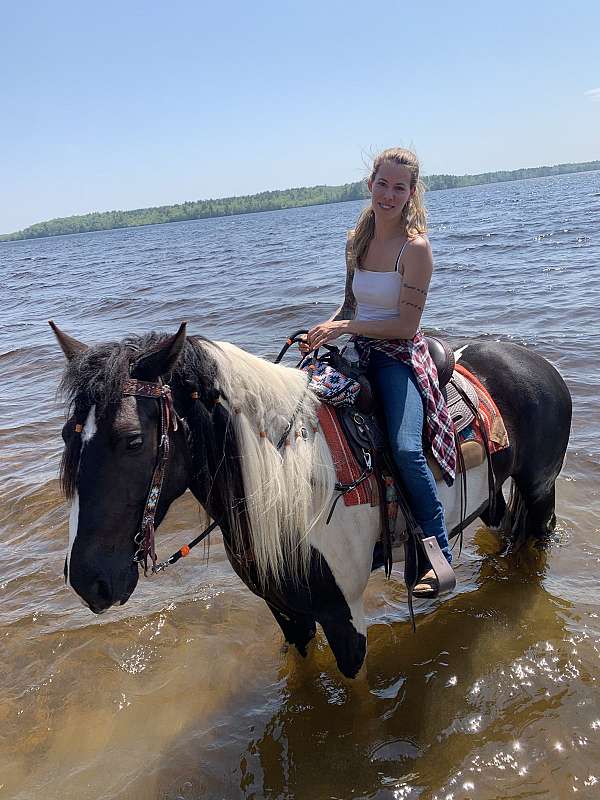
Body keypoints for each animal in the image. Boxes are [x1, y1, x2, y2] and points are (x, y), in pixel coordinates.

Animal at [50, 318, 572, 676]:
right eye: (67, 435)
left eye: (133, 441)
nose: (88, 580)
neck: (290, 483)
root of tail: (538, 363)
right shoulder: (285, 611)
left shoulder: (345, 618)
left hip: (539, 489)